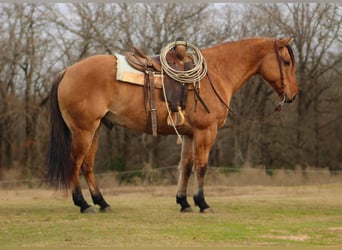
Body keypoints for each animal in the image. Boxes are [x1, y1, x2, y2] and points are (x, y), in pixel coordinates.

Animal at [46, 36, 298, 213]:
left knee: (87, 165)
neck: (216, 73)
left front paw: (184, 202)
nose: (293, 95)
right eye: (286, 62)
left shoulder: (189, 134)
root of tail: (67, 70)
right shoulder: (206, 132)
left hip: (96, 130)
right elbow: (201, 166)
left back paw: (102, 202)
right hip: (83, 130)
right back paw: (83, 204)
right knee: (75, 162)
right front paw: (202, 203)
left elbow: (185, 167)